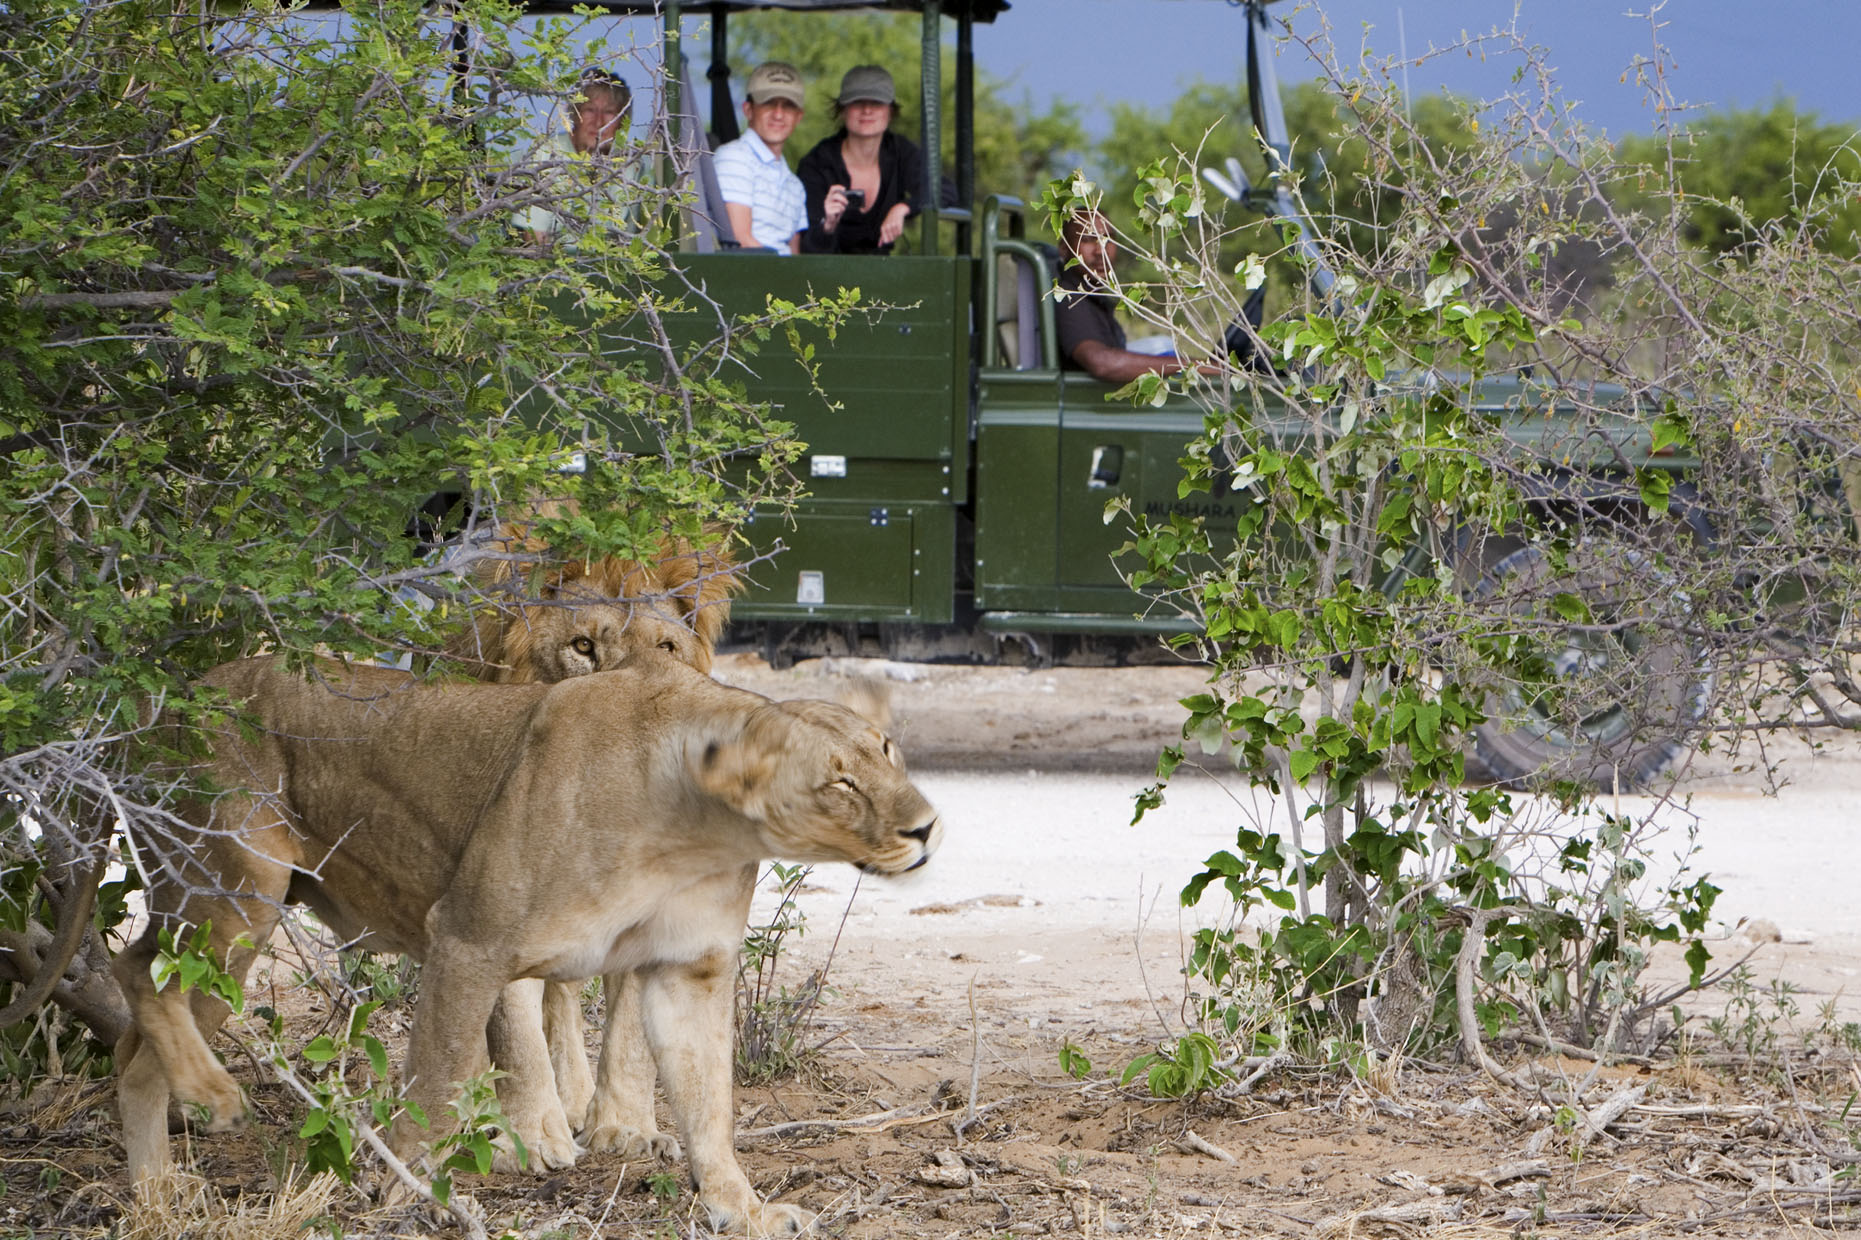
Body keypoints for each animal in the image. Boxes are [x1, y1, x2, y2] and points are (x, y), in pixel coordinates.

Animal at [114, 651, 940, 1236]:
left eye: (889, 749)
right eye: (839, 784)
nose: (926, 827)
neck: (695, 832)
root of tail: (173, 703)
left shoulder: (687, 971)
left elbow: (709, 1105)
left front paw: (744, 1209)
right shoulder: (467, 937)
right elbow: (437, 1083)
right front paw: (401, 1191)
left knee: (133, 1053)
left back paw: (157, 1195)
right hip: (236, 887)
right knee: (135, 968)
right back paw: (212, 1094)